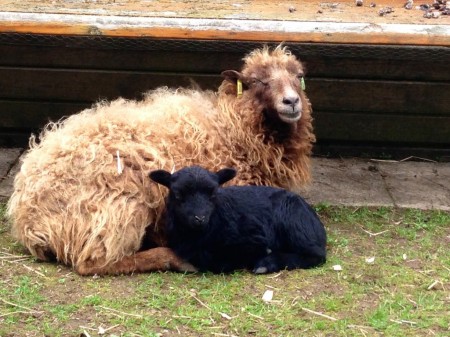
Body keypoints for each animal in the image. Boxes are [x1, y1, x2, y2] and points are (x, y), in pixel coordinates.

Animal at [7, 44, 316, 274]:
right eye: (257, 82)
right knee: (93, 261)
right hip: (118, 202)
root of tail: (28, 216)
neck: (231, 128)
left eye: (297, 76)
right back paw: (174, 258)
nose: (291, 101)